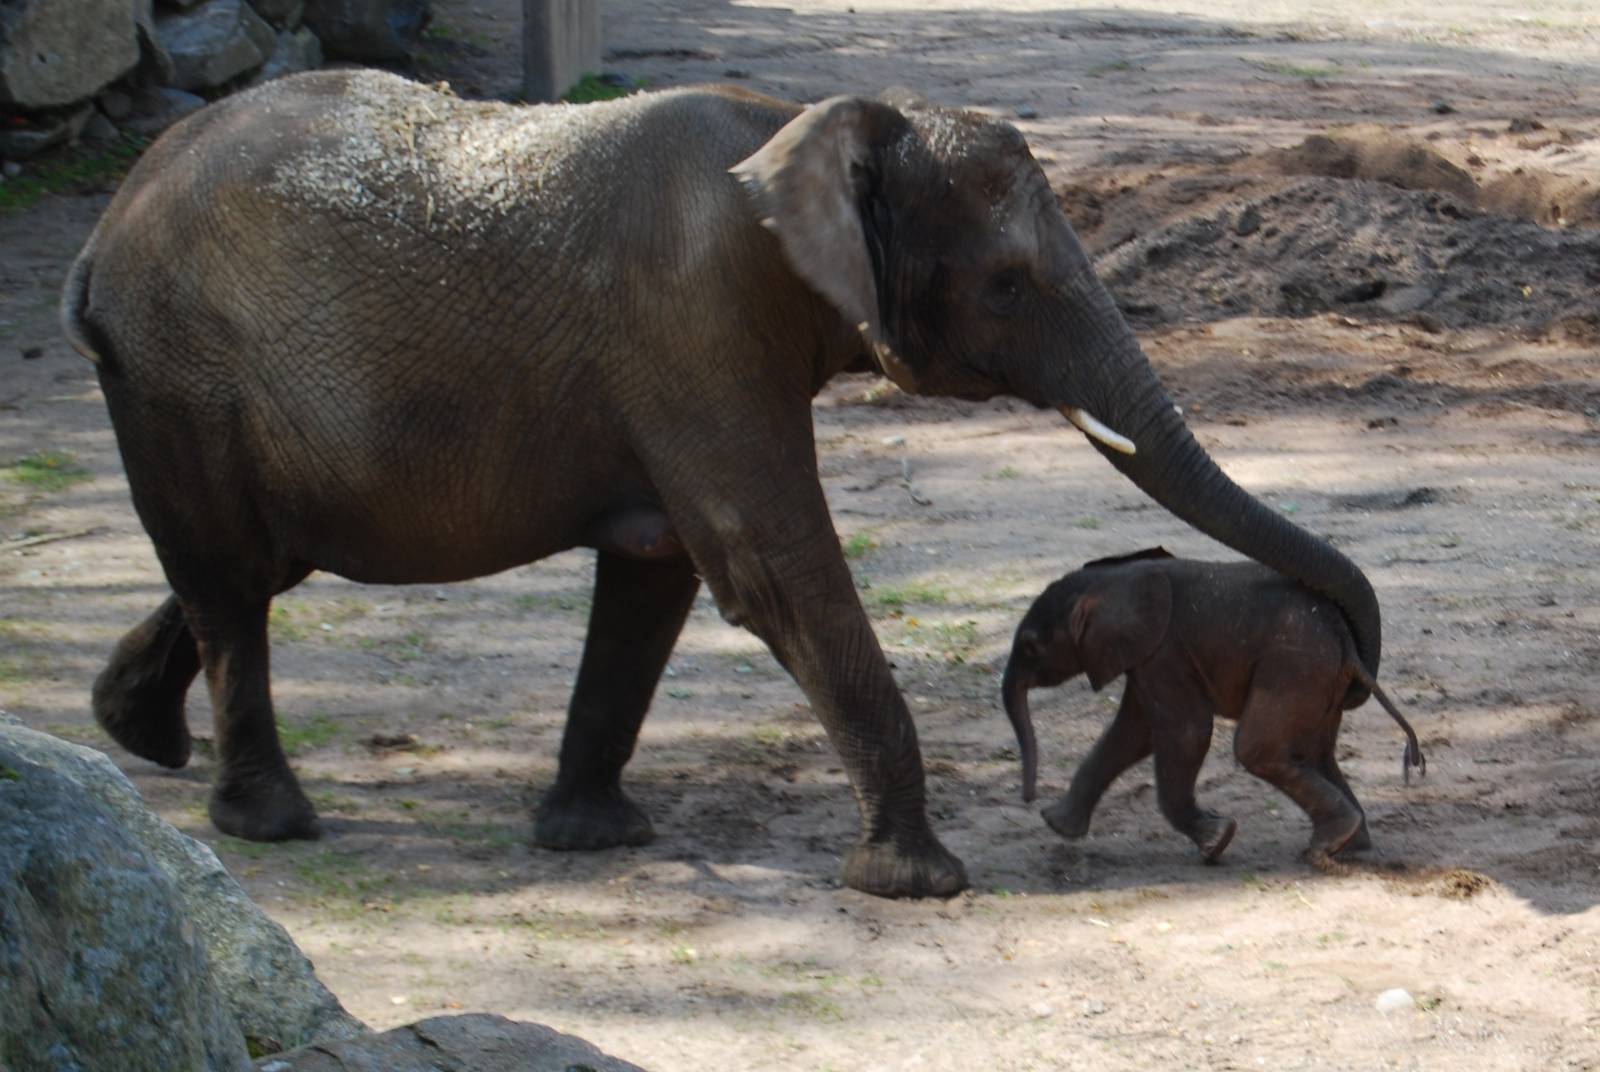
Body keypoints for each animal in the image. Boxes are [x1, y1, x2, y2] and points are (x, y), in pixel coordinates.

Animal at [1001, 549, 1422, 862]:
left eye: (1030, 647)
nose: (1027, 797)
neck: (1110, 580)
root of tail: (1345, 640)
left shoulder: (1163, 650)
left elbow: (1185, 731)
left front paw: (1216, 841)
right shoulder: (1145, 656)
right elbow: (1132, 734)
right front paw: (1056, 824)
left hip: (1294, 666)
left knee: (1256, 748)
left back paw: (1327, 845)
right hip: (1319, 678)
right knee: (1314, 754)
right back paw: (1349, 845)